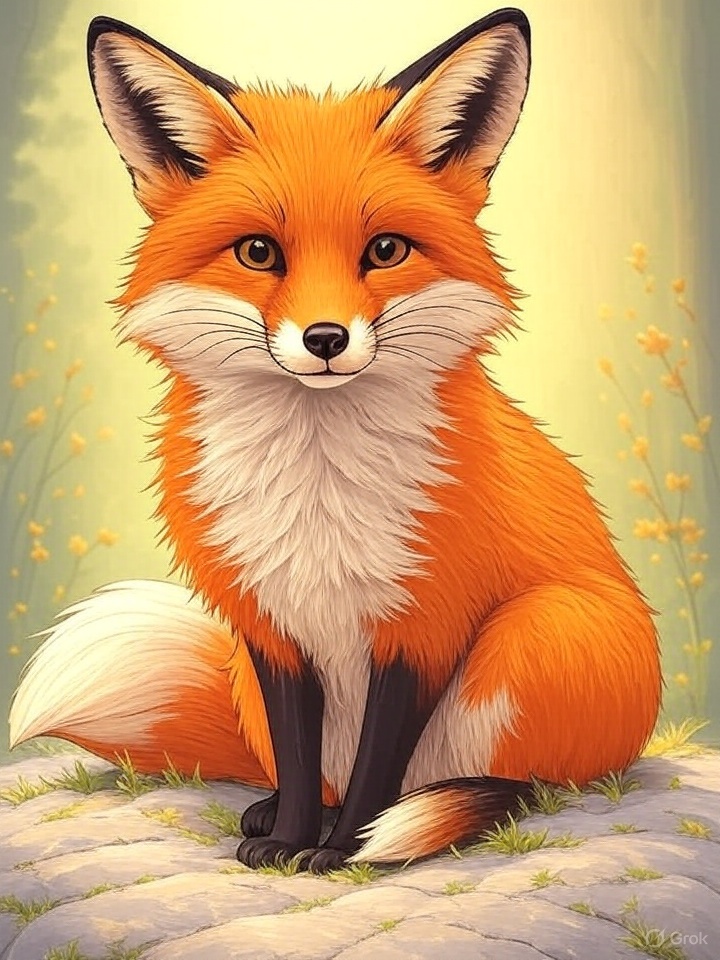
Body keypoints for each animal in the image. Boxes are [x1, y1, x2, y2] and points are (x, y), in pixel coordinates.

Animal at [9, 8, 662, 873]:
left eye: (385, 250)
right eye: (258, 252)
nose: (325, 339)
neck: (315, 487)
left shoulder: (422, 625)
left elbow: (378, 768)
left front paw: (344, 850)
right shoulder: (270, 626)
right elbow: (297, 753)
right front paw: (289, 841)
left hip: (536, 635)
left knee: (527, 784)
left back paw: (452, 809)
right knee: (306, 771)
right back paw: (274, 812)